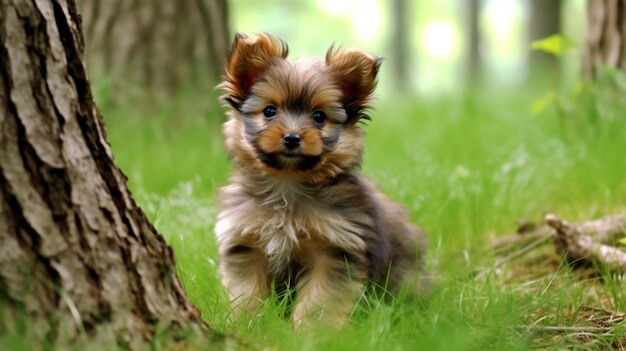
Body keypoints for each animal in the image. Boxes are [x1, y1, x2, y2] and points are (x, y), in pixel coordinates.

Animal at [213, 34, 424, 328]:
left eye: (319, 117)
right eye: (269, 111)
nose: (292, 138)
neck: (288, 182)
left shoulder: (334, 250)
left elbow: (320, 301)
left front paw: (311, 332)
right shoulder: (245, 243)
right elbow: (246, 293)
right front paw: (244, 324)